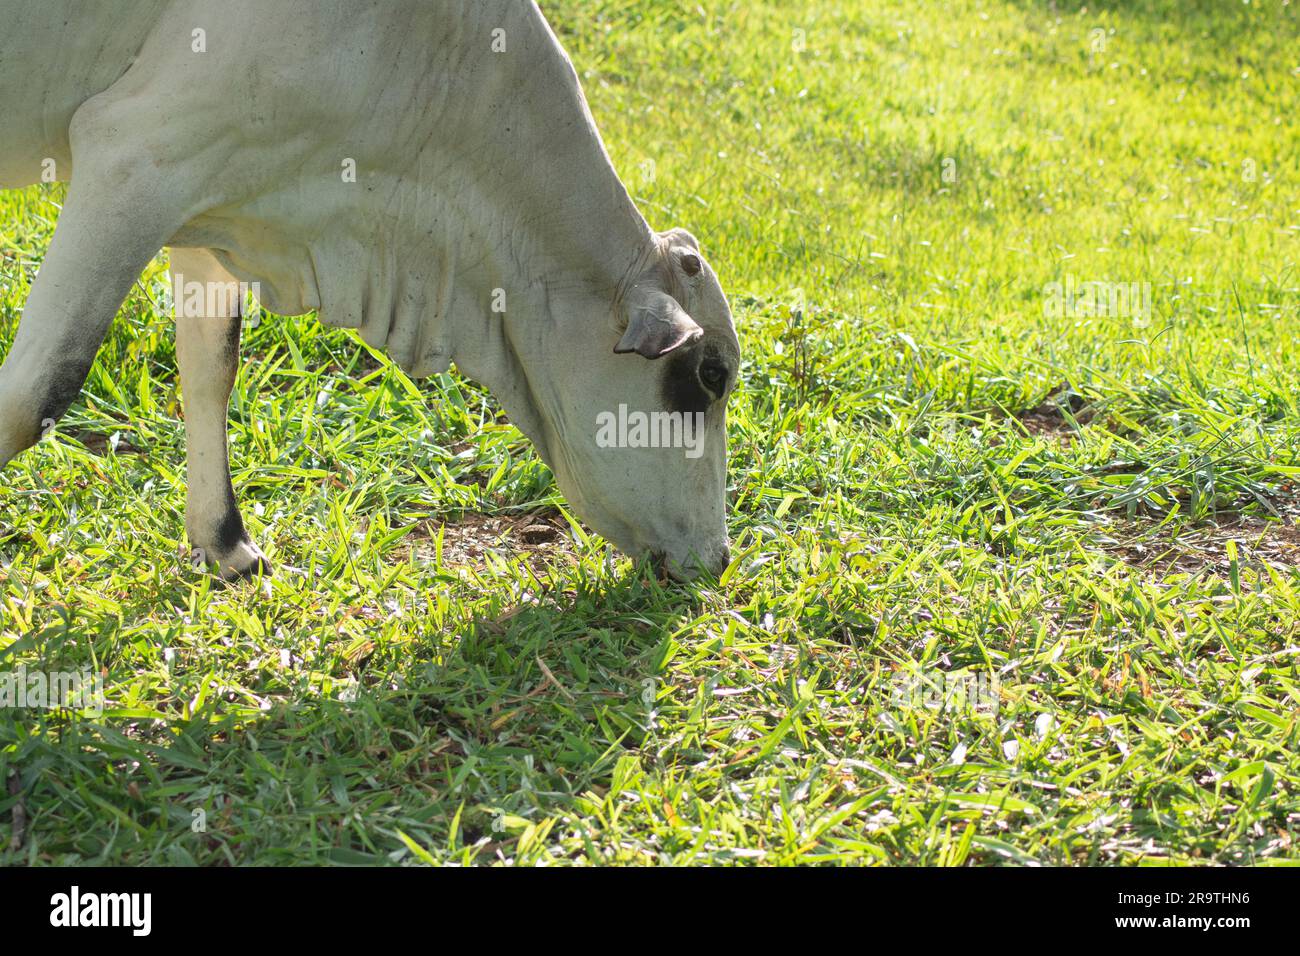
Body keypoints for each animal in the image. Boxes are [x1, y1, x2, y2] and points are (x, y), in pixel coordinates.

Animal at [0, 1, 743, 574]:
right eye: (710, 376)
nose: (720, 558)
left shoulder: (209, 189)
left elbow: (212, 368)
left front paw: (224, 543)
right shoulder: (135, 156)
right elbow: (35, 395)